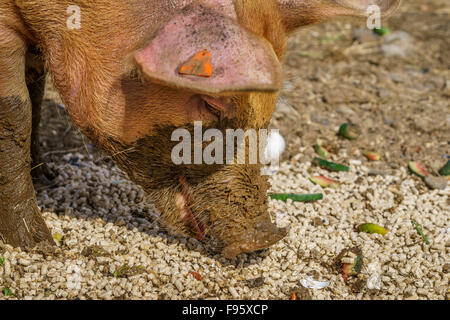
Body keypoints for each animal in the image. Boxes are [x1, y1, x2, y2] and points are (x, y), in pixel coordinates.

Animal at [0, 0, 400, 255]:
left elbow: (37, 90)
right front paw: (41, 248)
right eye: (212, 104)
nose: (265, 238)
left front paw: (48, 177)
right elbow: (16, 110)